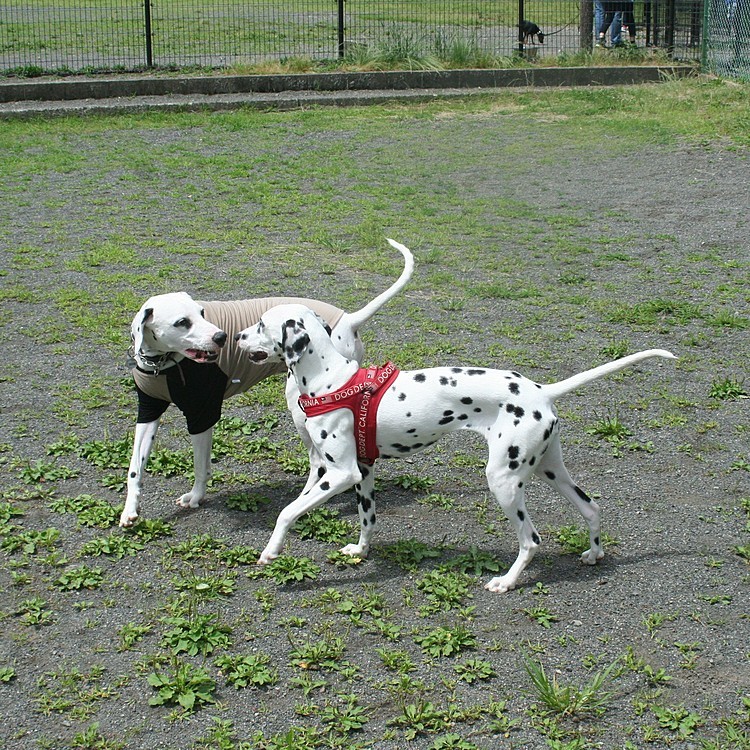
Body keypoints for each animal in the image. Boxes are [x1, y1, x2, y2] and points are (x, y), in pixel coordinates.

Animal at [123, 239, 418, 528]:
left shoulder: (202, 416)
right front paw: (129, 511)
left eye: (201, 312)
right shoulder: (148, 412)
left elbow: (200, 465)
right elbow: (135, 467)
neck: (162, 364)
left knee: (318, 461)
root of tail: (348, 319)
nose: (221, 337)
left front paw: (196, 497)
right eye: (182, 322)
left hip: (300, 408)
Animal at [239, 302, 676, 596]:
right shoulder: (363, 472)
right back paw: (593, 554)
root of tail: (541, 391)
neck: (332, 380)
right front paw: (360, 551)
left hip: (504, 481)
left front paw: (271, 552)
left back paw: (506, 582)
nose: (237, 336)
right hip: (549, 470)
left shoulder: (341, 473)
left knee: (531, 539)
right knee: (591, 507)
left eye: (261, 324)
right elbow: (367, 519)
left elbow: (287, 511)